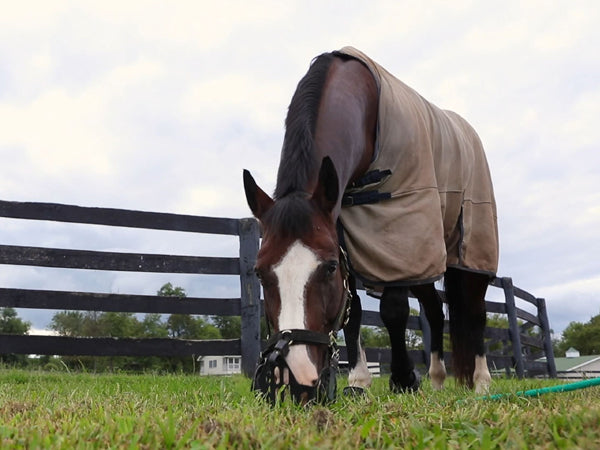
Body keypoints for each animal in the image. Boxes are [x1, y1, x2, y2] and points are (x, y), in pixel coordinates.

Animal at [241, 46, 500, 404]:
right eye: (260, 272)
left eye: (328, 267)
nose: (297, 379)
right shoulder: (347, 237)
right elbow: (355, 312)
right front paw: (359, 381)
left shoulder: (397, 230)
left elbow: (393, 310)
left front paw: (403, 379)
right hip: (425, 255)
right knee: (434, 310)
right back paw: (436, 380)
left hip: (465, 248)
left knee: (475, 310)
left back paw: (481, 381)